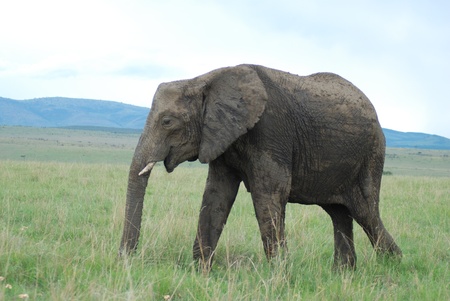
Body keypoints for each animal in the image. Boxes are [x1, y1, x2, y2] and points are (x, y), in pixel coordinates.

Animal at [118, 62, 400, 268]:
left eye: (167, 121)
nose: (126, 259)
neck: (206, 78)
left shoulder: (270, 131)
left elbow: (269, 193)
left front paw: (279, 273)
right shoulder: (221, 136)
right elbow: (217, 194)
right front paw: (200, 271)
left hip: (372, 154)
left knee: (365, 212)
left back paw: (392, 264)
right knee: (339, 213)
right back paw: (344, 273)